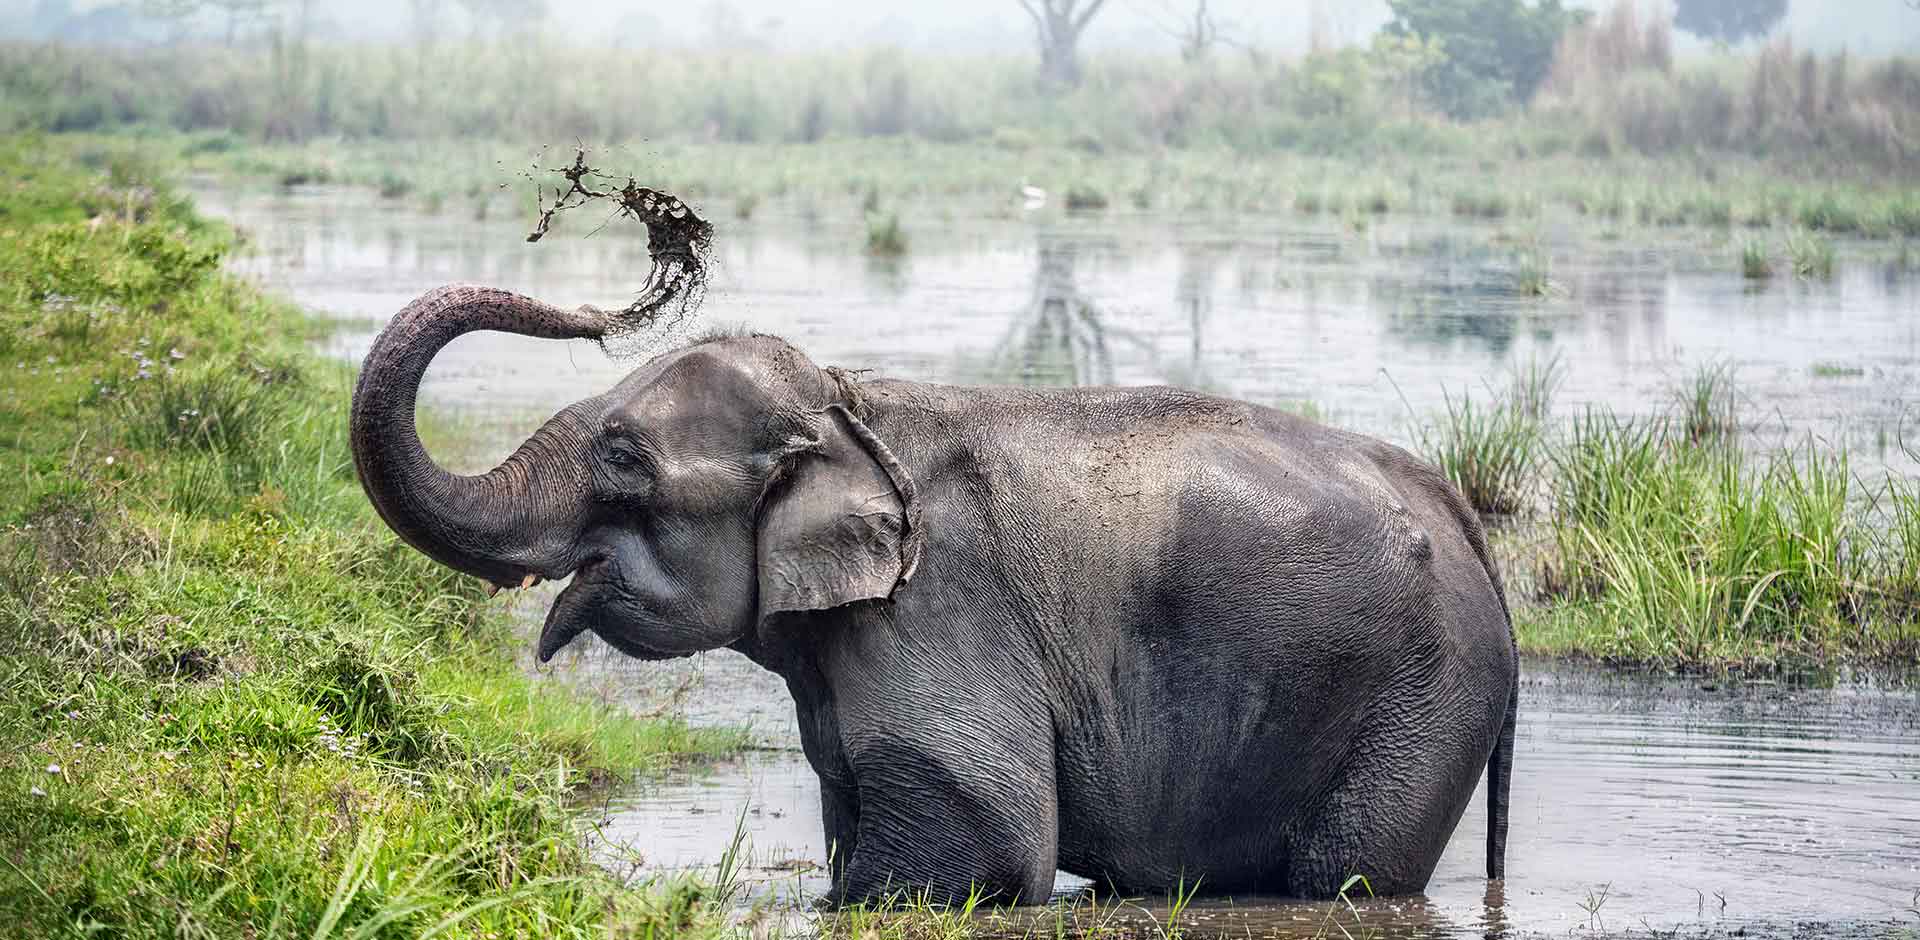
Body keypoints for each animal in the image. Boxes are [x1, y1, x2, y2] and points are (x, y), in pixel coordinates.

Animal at [349, 283, 1512, 901]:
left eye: (624, 454)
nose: (598, 309)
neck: (849, 402)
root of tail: (1461, 514)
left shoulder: (935, 612)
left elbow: (987, 840)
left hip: (1422, 701)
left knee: (1350, 878)